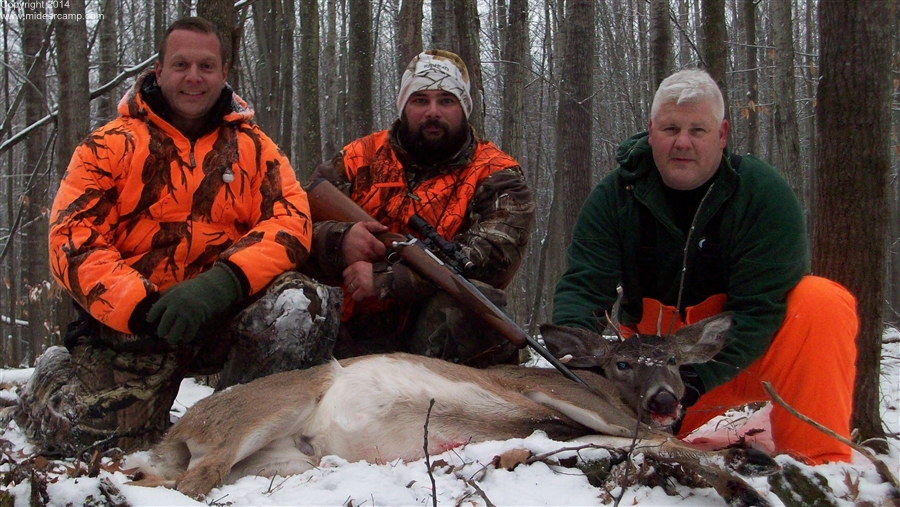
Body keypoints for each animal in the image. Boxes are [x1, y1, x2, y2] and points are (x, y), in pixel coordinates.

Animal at [128, 316, 780, 506]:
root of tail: (176, 434)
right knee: (193, 479)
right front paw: (746, 478)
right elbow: (656, 440)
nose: (666, 399)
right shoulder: (557, 396)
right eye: (623, 363)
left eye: (675, 361)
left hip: (284, 460)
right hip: (266, 411)